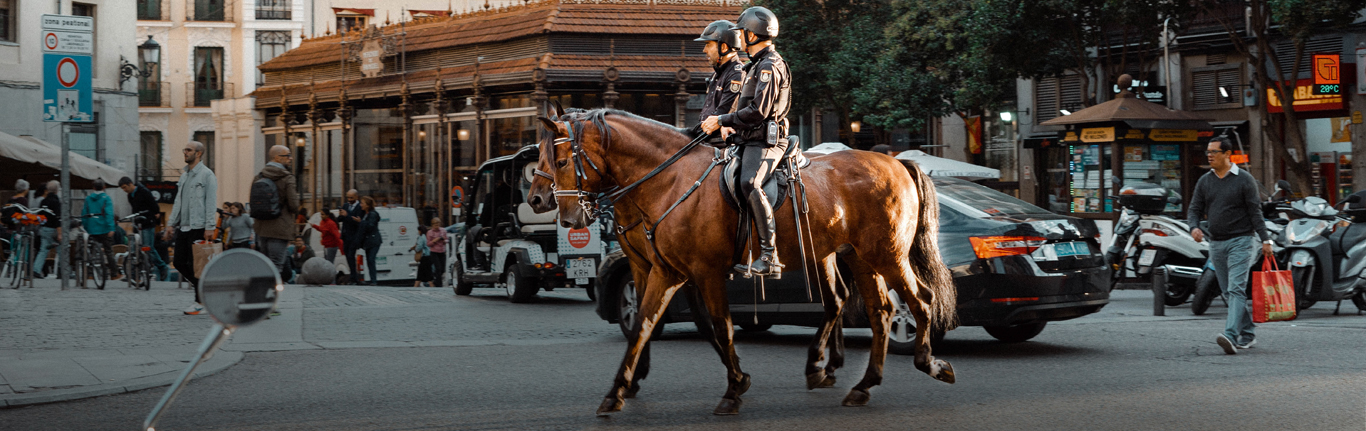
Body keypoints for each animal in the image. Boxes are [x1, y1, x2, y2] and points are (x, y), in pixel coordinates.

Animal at [527, 107, 956, 414]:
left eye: (560, 160)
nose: (542, 202)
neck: (669, 181)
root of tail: (898, 162)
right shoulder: (664, 271)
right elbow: (644, 325)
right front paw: (619, 388)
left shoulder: (703, 273)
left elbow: (720, 326)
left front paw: (735, 386)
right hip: (861, 258)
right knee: (877, 311)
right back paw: (860, 383)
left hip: (887, 256)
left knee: (920, 301)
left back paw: (929, 364)